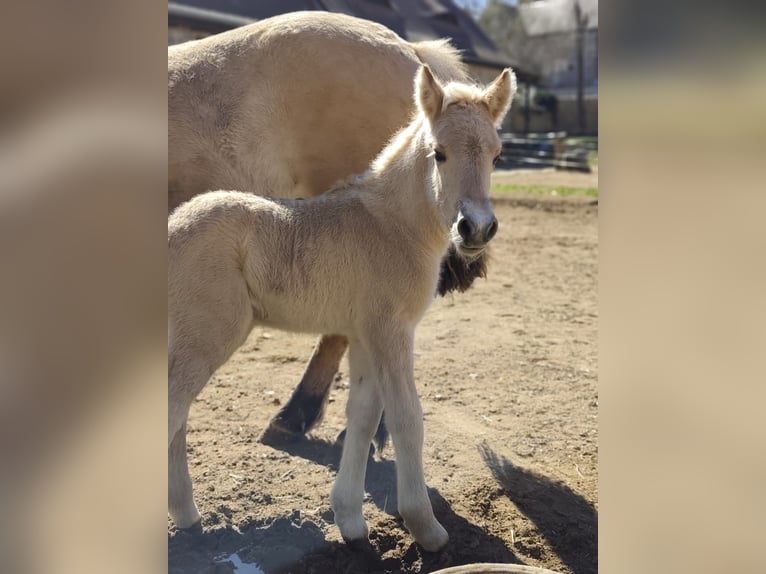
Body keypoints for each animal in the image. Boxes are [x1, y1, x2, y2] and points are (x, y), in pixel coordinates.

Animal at [168, 65, 516, 550]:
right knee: (170, 411)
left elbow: (364, 417)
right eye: (439, 153)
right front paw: (426, 528)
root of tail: (170, 227)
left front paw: (351, 520)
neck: (392, 225)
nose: (477, 228)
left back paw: (187, 515)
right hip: (208, 334)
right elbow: (407, 418)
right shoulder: (392, 331)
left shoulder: (363, 335)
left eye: (497, 155)